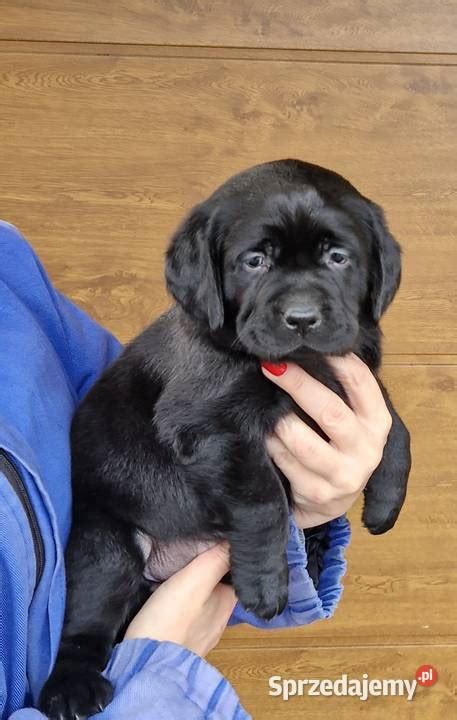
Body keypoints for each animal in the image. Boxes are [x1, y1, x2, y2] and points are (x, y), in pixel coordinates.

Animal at [39, 162, 410, 720]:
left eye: (338, 257)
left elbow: (392, 423)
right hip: (106, 547)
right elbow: (262, 501)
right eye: (254, 262)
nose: (302, 318)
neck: (304, 362)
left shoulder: (348, 371)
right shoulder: (207, 424)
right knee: (86, 622)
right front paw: (266, 582)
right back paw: (71, 688)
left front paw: (386, 502)